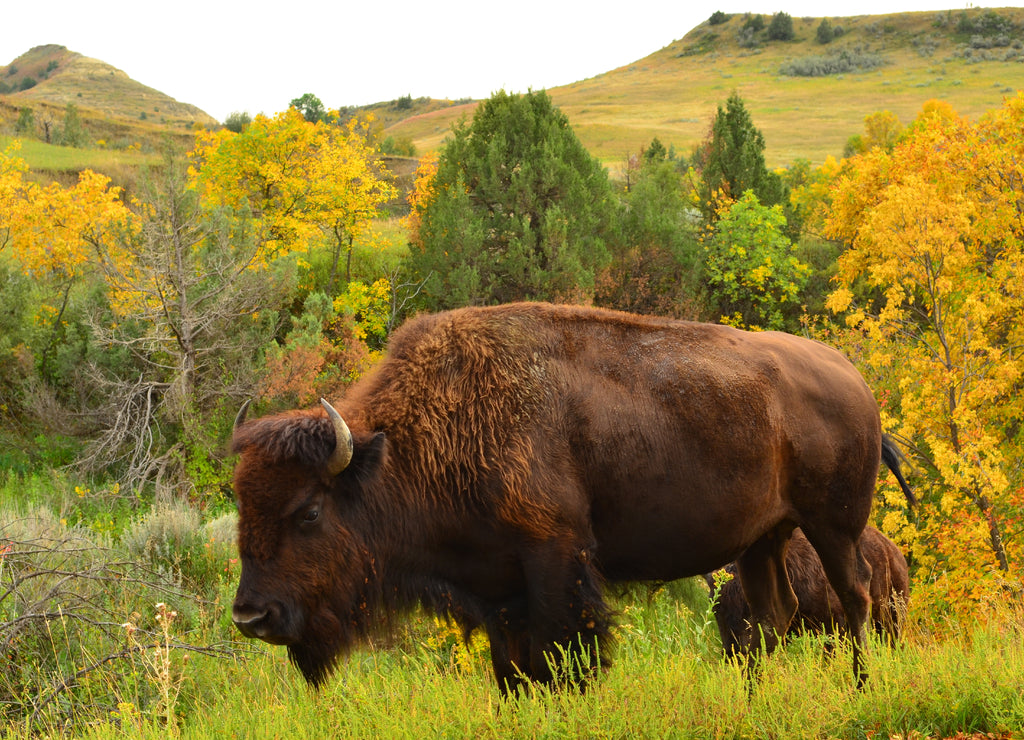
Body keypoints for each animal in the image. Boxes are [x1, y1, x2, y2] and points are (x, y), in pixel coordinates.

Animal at [704, 524, 913, 655]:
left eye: (748, 607)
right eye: (716, 608)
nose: (733, 652)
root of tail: (895, 552)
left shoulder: (834, 623)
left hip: (892, 616)